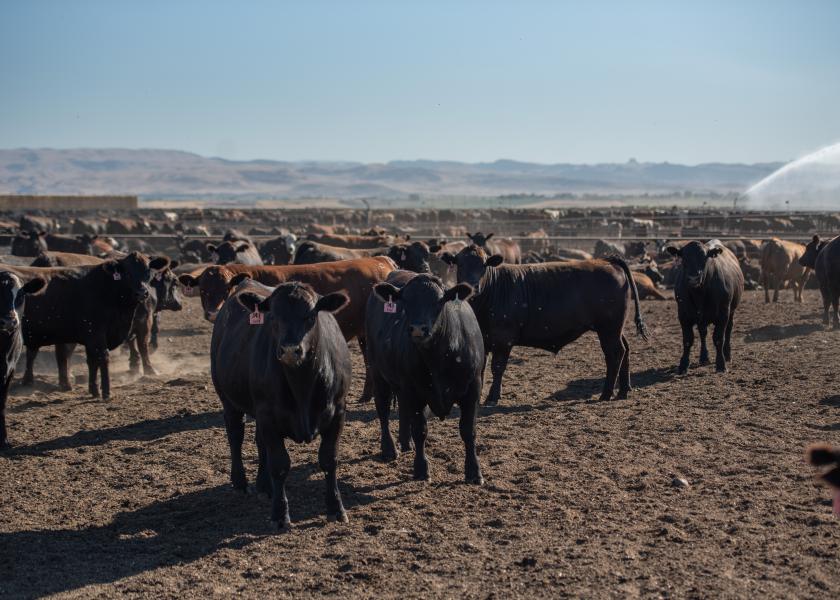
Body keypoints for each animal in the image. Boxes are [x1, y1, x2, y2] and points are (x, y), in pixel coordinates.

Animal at [15, 253, 169, 399]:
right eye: (127, 272)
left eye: (148, 272)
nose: (142, 293)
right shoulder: (96, 333)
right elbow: (103, 357)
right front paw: (106, 392)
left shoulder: (90, 338)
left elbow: (92, 361)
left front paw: (94, 389)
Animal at [211, 281, 352, 529]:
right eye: (273, 316)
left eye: (310, 315)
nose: (289, 350)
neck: (302, 384)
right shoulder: (268, 416)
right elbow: (279, 465)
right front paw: (279, 515)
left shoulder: (338, 412)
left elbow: (329, 459)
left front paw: (336, 508)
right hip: (228, 399)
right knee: (235, 435)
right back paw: (240, 482)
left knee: (259, 442)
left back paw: (264, 485)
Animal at [365, 272, 484, 483]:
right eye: (405, 301)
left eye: (440, 301)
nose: (418, 329)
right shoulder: (415, 392)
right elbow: (420, 430)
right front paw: (421, 468)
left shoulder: (473, 388)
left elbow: (468, 431)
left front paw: (474, 471)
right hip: (378, 374)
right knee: (383, 410)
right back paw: (389, 449)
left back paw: (406, 443)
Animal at [442, 245, 647, 404]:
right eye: (460, 264)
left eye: (483, 265)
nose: (472, 286)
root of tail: (607, 260)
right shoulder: (483, 339)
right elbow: (481, 368)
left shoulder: (503, 339)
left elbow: (497, 367)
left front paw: (493, 397)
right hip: (615, 328)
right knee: (626, 349)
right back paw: (623, 391)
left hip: (608, 328)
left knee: (615, 353)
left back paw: (606, 394)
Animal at [667, 240, 743, 374]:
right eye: (684, 258)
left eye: (704, 258)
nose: (693, 278)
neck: (699, 294)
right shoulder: (683, 315)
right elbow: (688, 340)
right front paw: (683, 365)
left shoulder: (723, 313)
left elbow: (719, 338)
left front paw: (721, 364)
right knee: (703, 333)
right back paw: (704, 357)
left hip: (731, 311)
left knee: (728, 330)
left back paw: (727, 355)